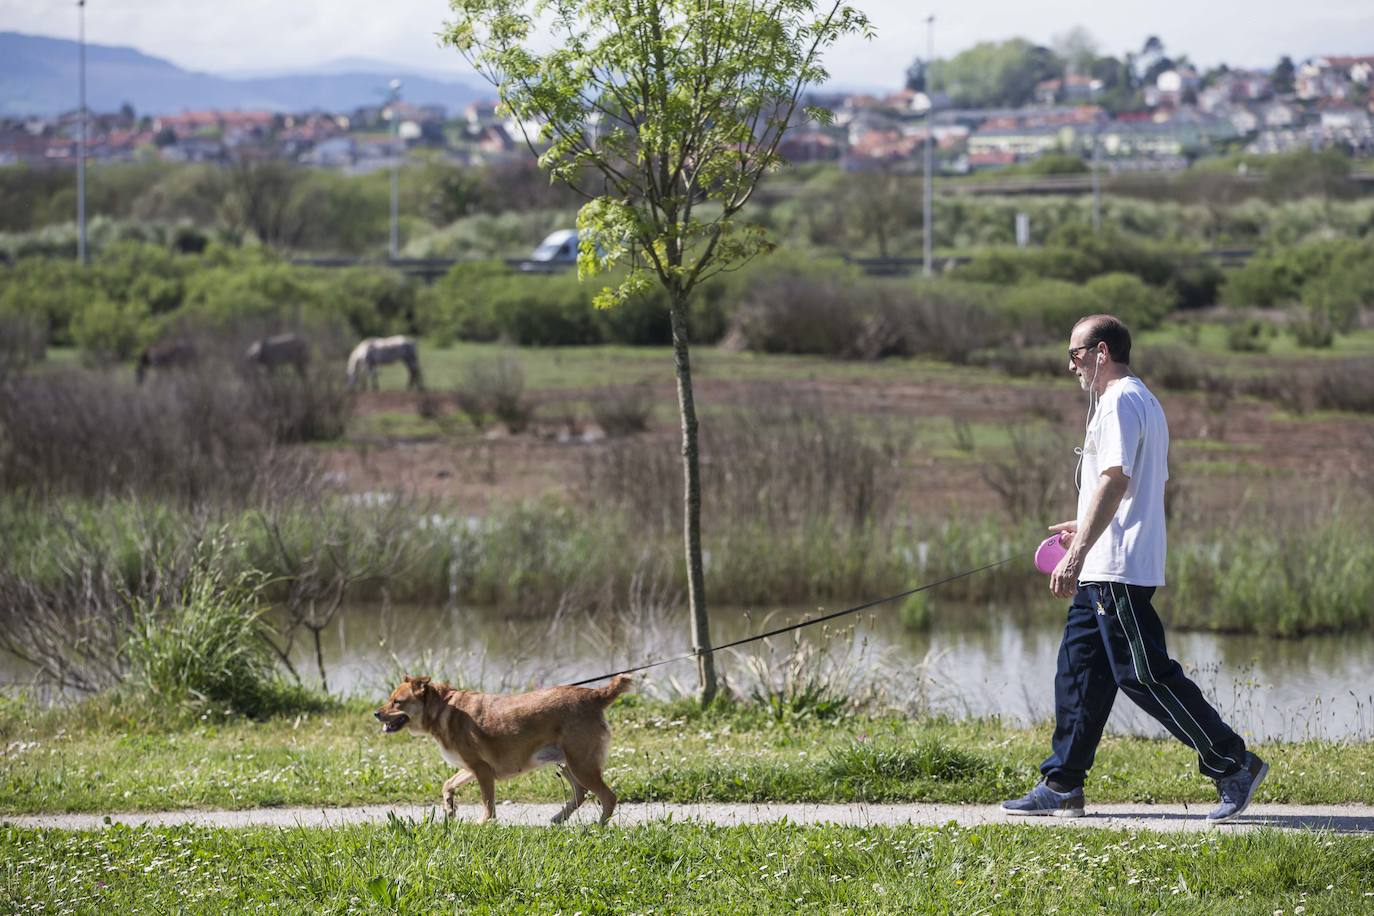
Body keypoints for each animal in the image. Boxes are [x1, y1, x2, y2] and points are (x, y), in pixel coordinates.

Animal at [376, 672, 632, 823]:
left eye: (397, 702)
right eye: (390, 699)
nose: (376, 713)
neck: (442, 708)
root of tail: (595, 695)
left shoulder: (482, 771)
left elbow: (488, 804)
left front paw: (483, 824)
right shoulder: (472, 767)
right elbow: (448, 783)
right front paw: (449, 807)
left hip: (581, 763)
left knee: (608, 797)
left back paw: (598, 827)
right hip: (565, 762)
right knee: (581, 793)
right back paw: (559, 819)